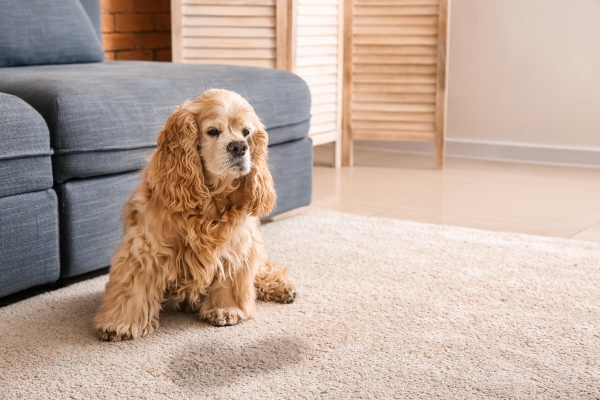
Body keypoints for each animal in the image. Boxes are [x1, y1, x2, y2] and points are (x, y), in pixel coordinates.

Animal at [94, 88, 298, 340]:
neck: (211, 199)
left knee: (261, 268)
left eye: (246, 132)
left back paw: (283, 288)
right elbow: (133, 286)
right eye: (212, 131)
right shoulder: (145, 246)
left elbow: (231, 277)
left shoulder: (235, 246)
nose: (239, 146)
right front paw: (121, 324)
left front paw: (226, 310)